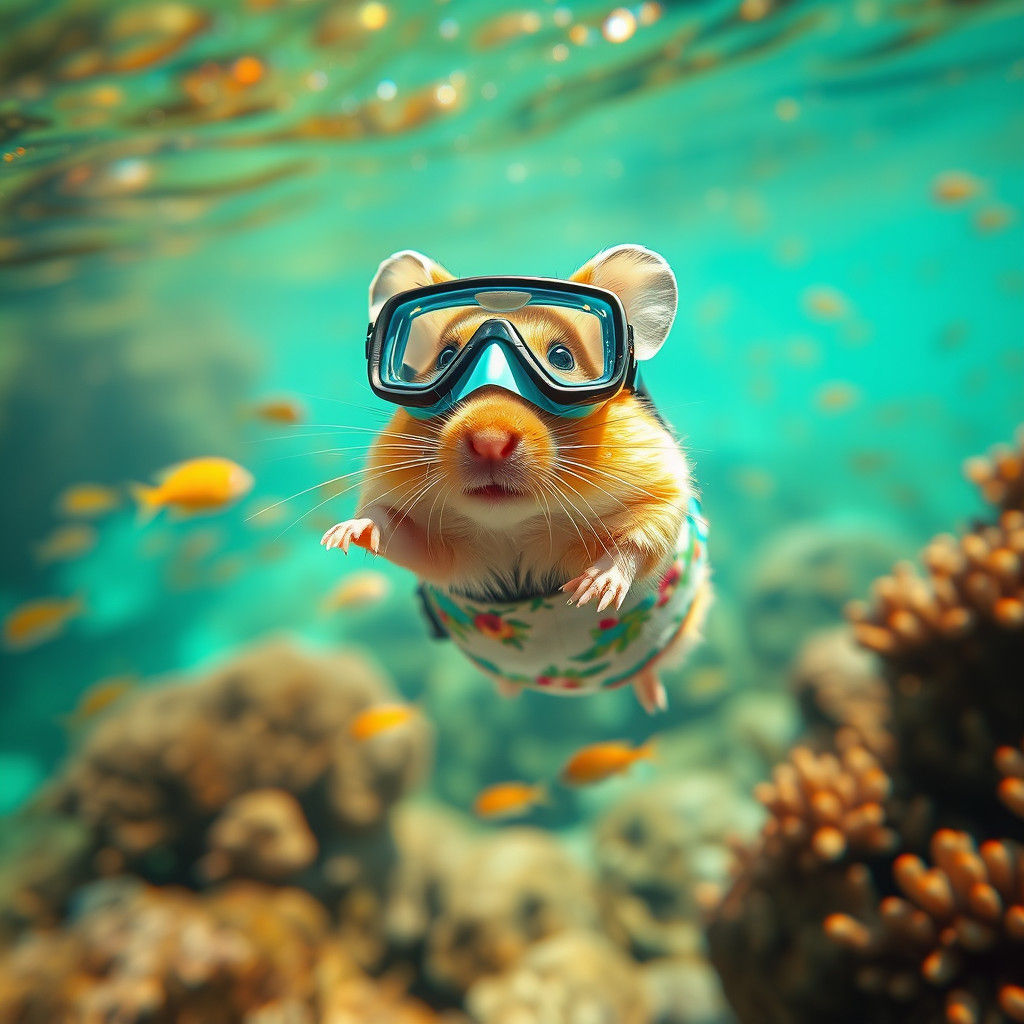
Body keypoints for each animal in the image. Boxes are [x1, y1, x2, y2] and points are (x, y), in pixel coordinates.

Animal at [321, 245, 711, 713]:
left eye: (561, 358)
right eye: (446, 358)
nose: (489, 441)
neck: (512, 527)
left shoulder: (664, 491)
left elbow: (639, 540)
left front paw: (590, 590)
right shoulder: (443, 559)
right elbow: (392, 528)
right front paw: (341, 534)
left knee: (649, 673)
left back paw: (655, 703)